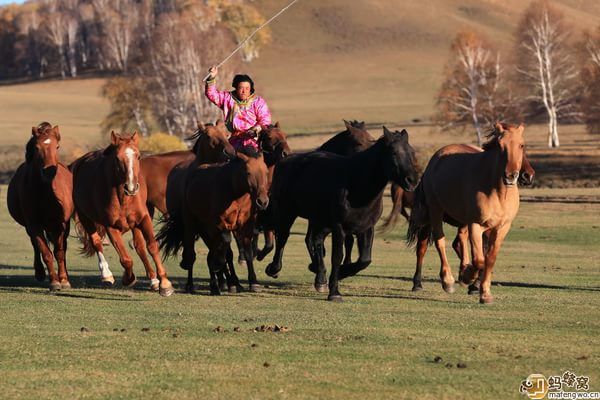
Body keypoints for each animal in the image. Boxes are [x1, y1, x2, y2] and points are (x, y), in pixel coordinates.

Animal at [7, 122, 74, 290]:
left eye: (57, 146)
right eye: (37, 147)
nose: (49, 172)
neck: (45, 192)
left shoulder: (61, 224)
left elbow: (59, 252)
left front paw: (64, 280)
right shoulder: (34, 224)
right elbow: (46, 252)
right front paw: (54, 281)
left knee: (62, 247)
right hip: (30, 226)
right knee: (36, 246)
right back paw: (40, 273)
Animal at [71, 130, 173, 296]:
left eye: (138, 156)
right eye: (117, 158)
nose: (131, 187)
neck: (123, 198)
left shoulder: (143, 219)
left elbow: (151, 246)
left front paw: (164, 283)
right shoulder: (111, 227)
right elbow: (126, 259)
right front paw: (128, 278)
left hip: (134, 224)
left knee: (140, 247)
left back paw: (154, 280)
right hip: (85, 218)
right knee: (96, 242)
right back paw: (106, 275)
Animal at [159, 150, 272, 294]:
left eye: (266, 172)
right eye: (248, 172)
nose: (262, 202)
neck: (234, 192)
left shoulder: (245, 226)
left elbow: (247, 252)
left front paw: (253, 282)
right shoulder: (220, 224)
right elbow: (226, 245)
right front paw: (219, 265)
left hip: (205, 230)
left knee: (212, 251)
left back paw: (220, 284)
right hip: (191, 225)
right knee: (191, 254)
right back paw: (191, 284)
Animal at [262, 127, 418, 300]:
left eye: (411, 152)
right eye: (394, 153)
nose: (412, 180)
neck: (355, 183)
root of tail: (285, 160)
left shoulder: (366, 227)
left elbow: (364, 260)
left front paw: (341, 274)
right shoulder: (339, 227)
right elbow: (337, 256)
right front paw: (334, 292)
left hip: (319, 220)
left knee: (314, 241)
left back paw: (320, 277)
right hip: (287, 212)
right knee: (283, 237)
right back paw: (274, 269)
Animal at [408, 122, 524, 304]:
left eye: (521, 145)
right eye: (500, 145)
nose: (510, 176)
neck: (496, 191)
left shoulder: (502, 227)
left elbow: (489, 259)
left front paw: (484, 292)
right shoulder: (476, 224)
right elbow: (479, 260)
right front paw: (468, 277)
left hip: (461, 221)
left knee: (459, 241)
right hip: (434, 212)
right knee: (431, 244)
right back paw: (439, 281)